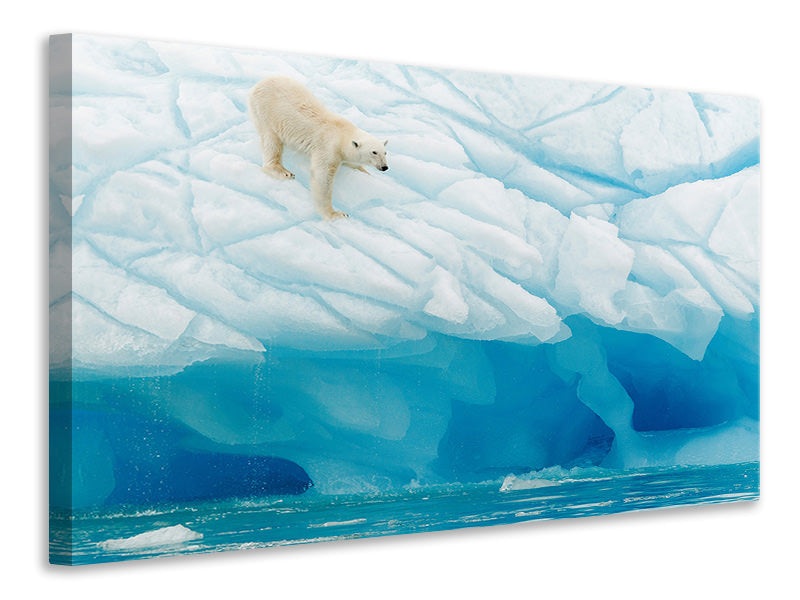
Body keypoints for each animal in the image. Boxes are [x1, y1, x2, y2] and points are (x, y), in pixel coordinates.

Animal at [248, 76, 389, 220]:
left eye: (385, 153)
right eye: (374, 152)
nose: (384, 167)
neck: (343, 133)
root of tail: (258, 85)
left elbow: (350, 162)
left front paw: (365, 172)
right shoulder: (328, 148)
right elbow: (322, 178)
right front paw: (336, 214)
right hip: (266, 112)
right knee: (271, 141)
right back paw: (282, 171)